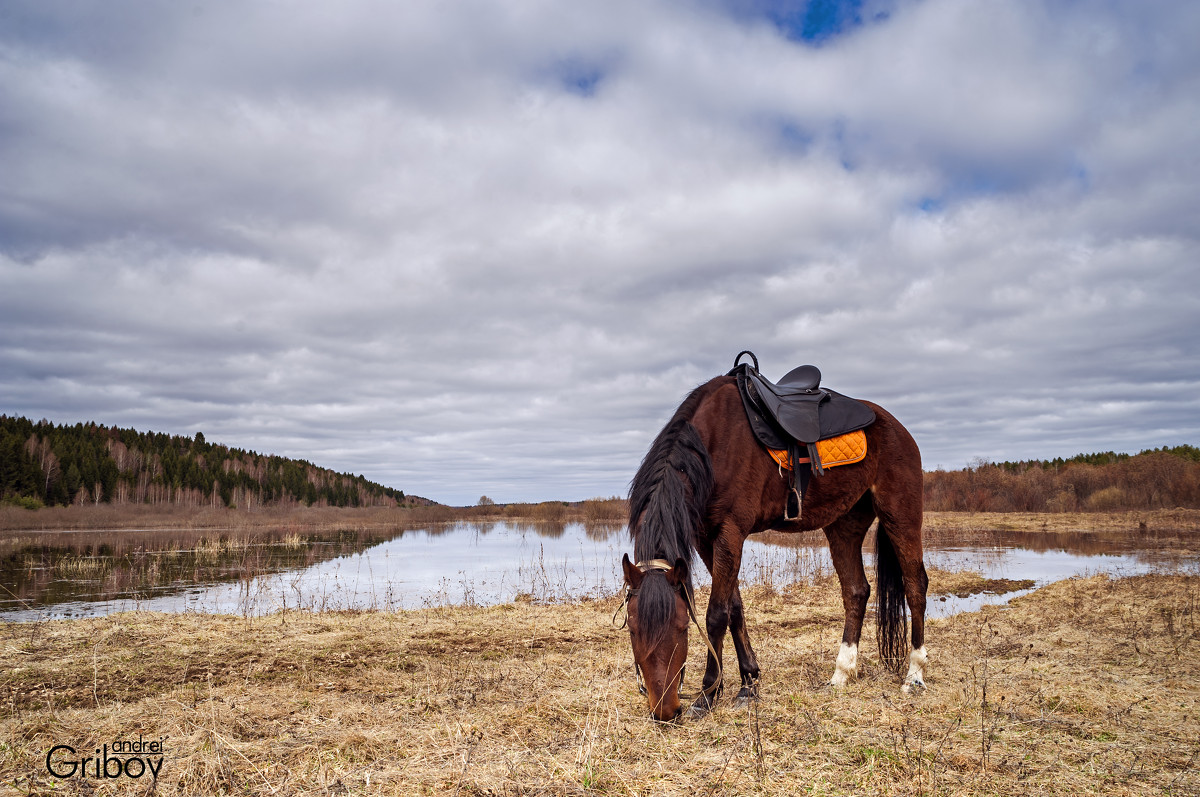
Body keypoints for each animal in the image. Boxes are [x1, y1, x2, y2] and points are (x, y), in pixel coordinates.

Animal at [619, 360, 926, 720]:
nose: (665, 711)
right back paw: (841, 674)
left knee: (915, 586)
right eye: (633, 629)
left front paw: (708, 694)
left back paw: (914, 676)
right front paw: (748, 682)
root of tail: (898, 428)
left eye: (682, 627)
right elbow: (735, 608)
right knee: (856, 591)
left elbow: (716, 615)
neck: (710, 448)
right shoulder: (705, 539)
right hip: (844, 526)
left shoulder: (730, 532)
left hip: (900, 516)